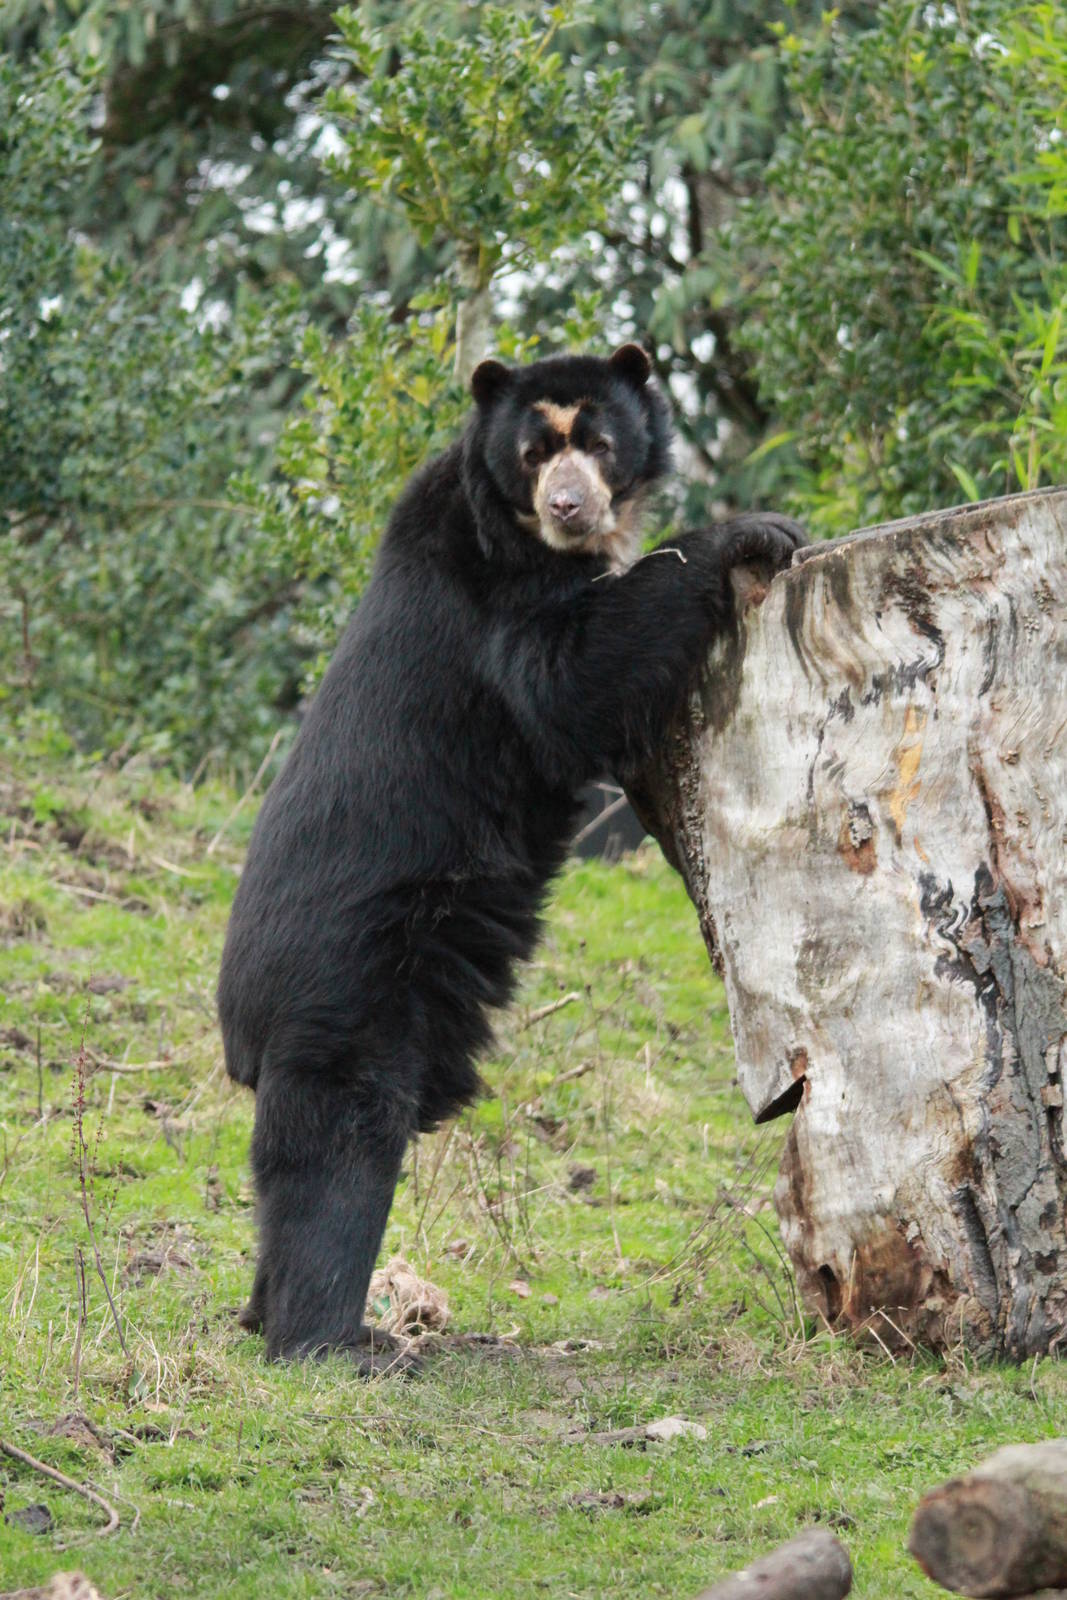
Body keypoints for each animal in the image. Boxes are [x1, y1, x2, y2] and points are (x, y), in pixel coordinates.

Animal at [217, 343, 806, 1369]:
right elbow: (567, 677)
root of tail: (238, 1029)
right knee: (337, 1155)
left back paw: (280, 1318)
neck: (532, 539)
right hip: (351, 991)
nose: (570, 506)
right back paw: (334, 1341)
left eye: (598, 443)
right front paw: (755, 532)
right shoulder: (490, 596)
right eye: (535, 455)